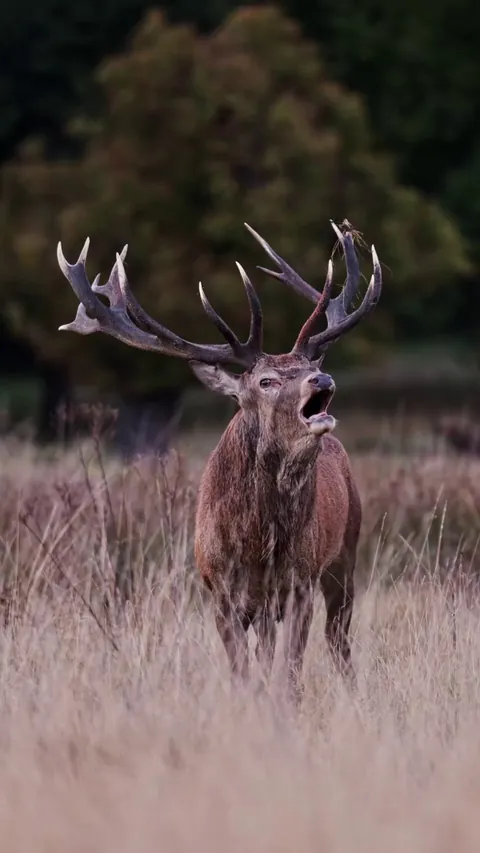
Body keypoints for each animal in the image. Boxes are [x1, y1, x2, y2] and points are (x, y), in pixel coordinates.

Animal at [57, 220, 381, 702]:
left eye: (307, 367)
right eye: (266, 381)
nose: (321, 379)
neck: (258, 543)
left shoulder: (299, 583)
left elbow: (290, 672)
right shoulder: (219, 592)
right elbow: (243, 672)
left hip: (345, 553)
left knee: (337, 639)